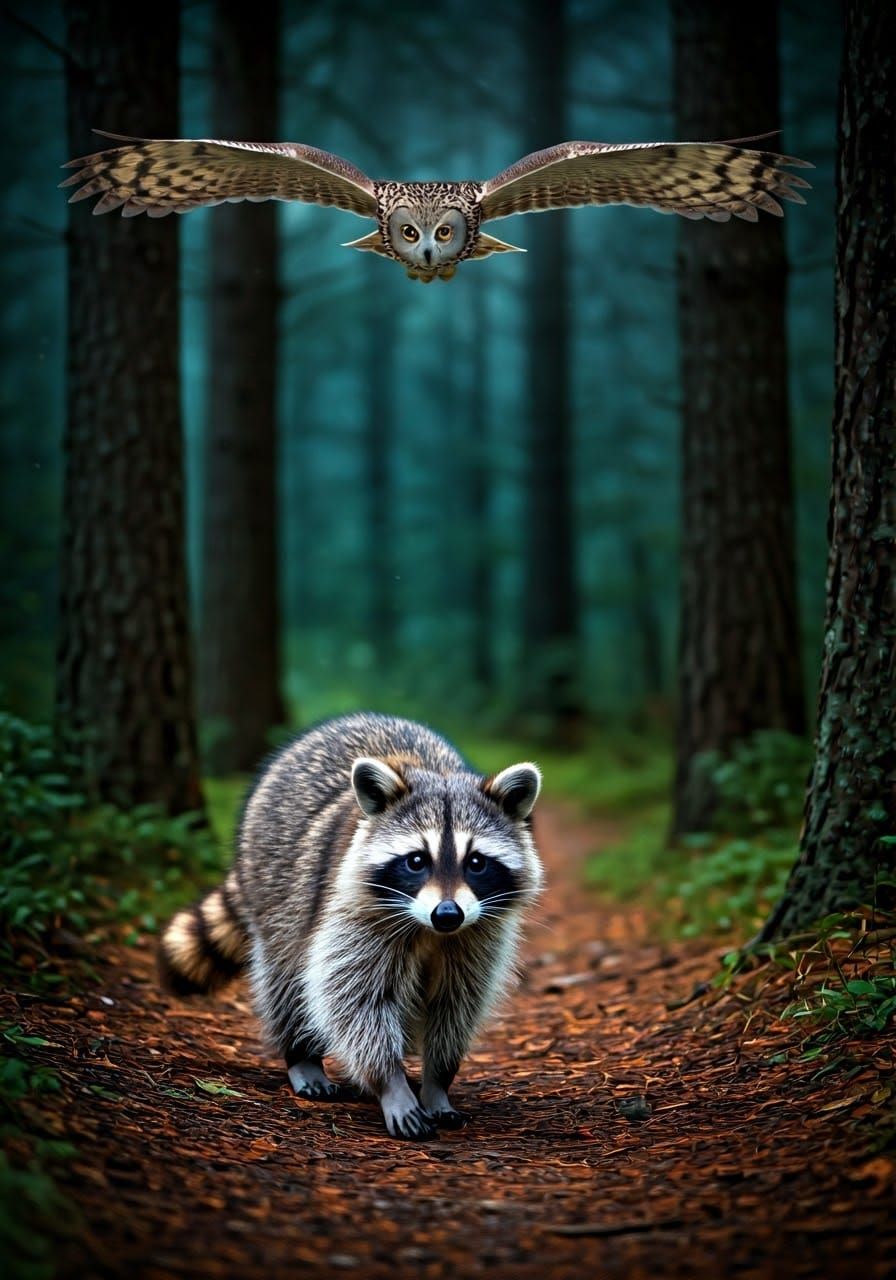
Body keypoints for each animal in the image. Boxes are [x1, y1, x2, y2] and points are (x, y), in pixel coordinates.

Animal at [158, 713, 543, 1139]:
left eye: (476, 862)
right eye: (416, 860)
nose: (447, 913)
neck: (431, 932)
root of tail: (355, 718)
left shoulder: (478, 934)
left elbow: (456, 1004)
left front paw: (436, 1082)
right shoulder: (353, 913)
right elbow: (355, 998)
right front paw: (391, 1084)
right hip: (276, 883)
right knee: (287, 975)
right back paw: (302, 1055)